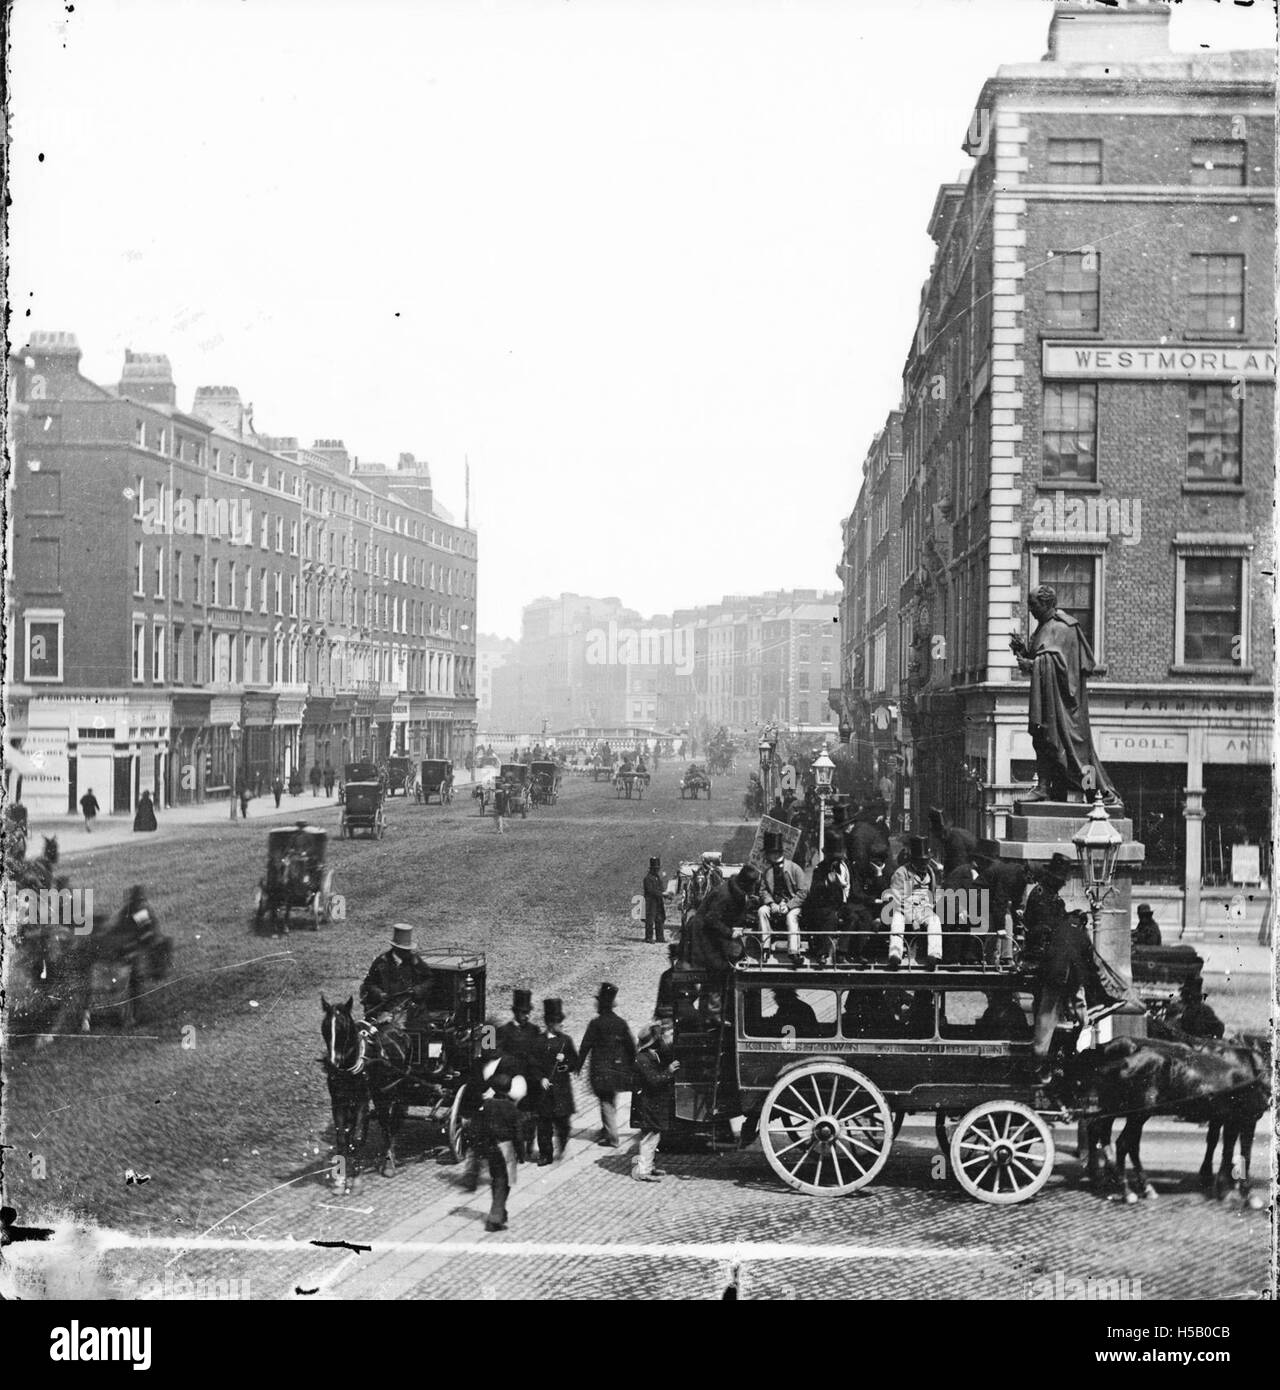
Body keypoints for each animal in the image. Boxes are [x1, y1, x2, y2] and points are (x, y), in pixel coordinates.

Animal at [318, 1000, 372, 1195]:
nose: (332, 1063)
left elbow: (357, 1138)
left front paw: (356, 1180)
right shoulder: (338, 1102)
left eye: (343, 1028)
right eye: (325, 1028)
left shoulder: (363, 1101)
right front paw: (340, 1180)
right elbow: (342, 1139)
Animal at [1056, 1039, 1267, 1212]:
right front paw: (1247, 1194)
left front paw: (1225, 1186)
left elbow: (1226, 1148)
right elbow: (1244, 1154)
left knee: (1107, 1132)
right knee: (1122, 1142)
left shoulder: (1231, 1118)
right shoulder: (1246, 1118)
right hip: (1138, 1112)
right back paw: (1126, 1190)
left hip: (1122, 1109)